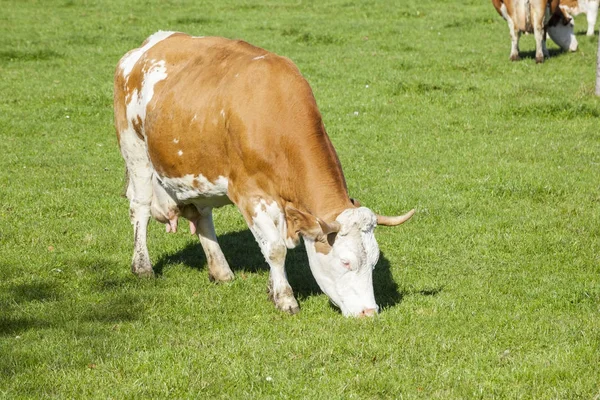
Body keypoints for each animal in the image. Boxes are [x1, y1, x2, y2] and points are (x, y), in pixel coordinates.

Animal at [112, 31, 414, 318]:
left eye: (374, 261)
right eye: (345, 261)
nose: (369, 313)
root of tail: (145, 47)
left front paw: (273, 288)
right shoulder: (250, 193)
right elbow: (275, 249)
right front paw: (285, 299)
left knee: (202, 216)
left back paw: (221, 271)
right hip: (135, 151)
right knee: (139, 207)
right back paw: (142, 267)